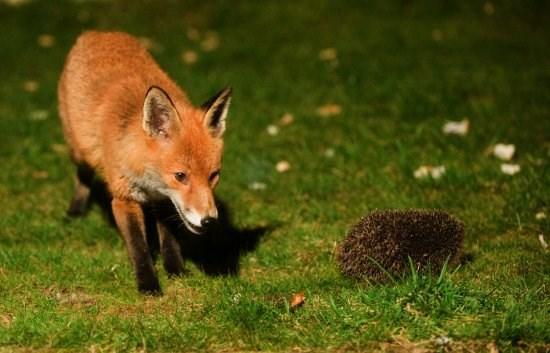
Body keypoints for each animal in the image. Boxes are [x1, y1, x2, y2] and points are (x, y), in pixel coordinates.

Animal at [58, 31, 233, 292]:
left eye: (213, 176)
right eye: (180, 176)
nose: (209, 220)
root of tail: (97, 32)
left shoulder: (164, 200)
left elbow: (169, 237)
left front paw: (175, 270)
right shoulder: (124, 199)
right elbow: (138, 246)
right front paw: (148, 284)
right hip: (79, 150)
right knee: (83, 173)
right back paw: (76, 209)